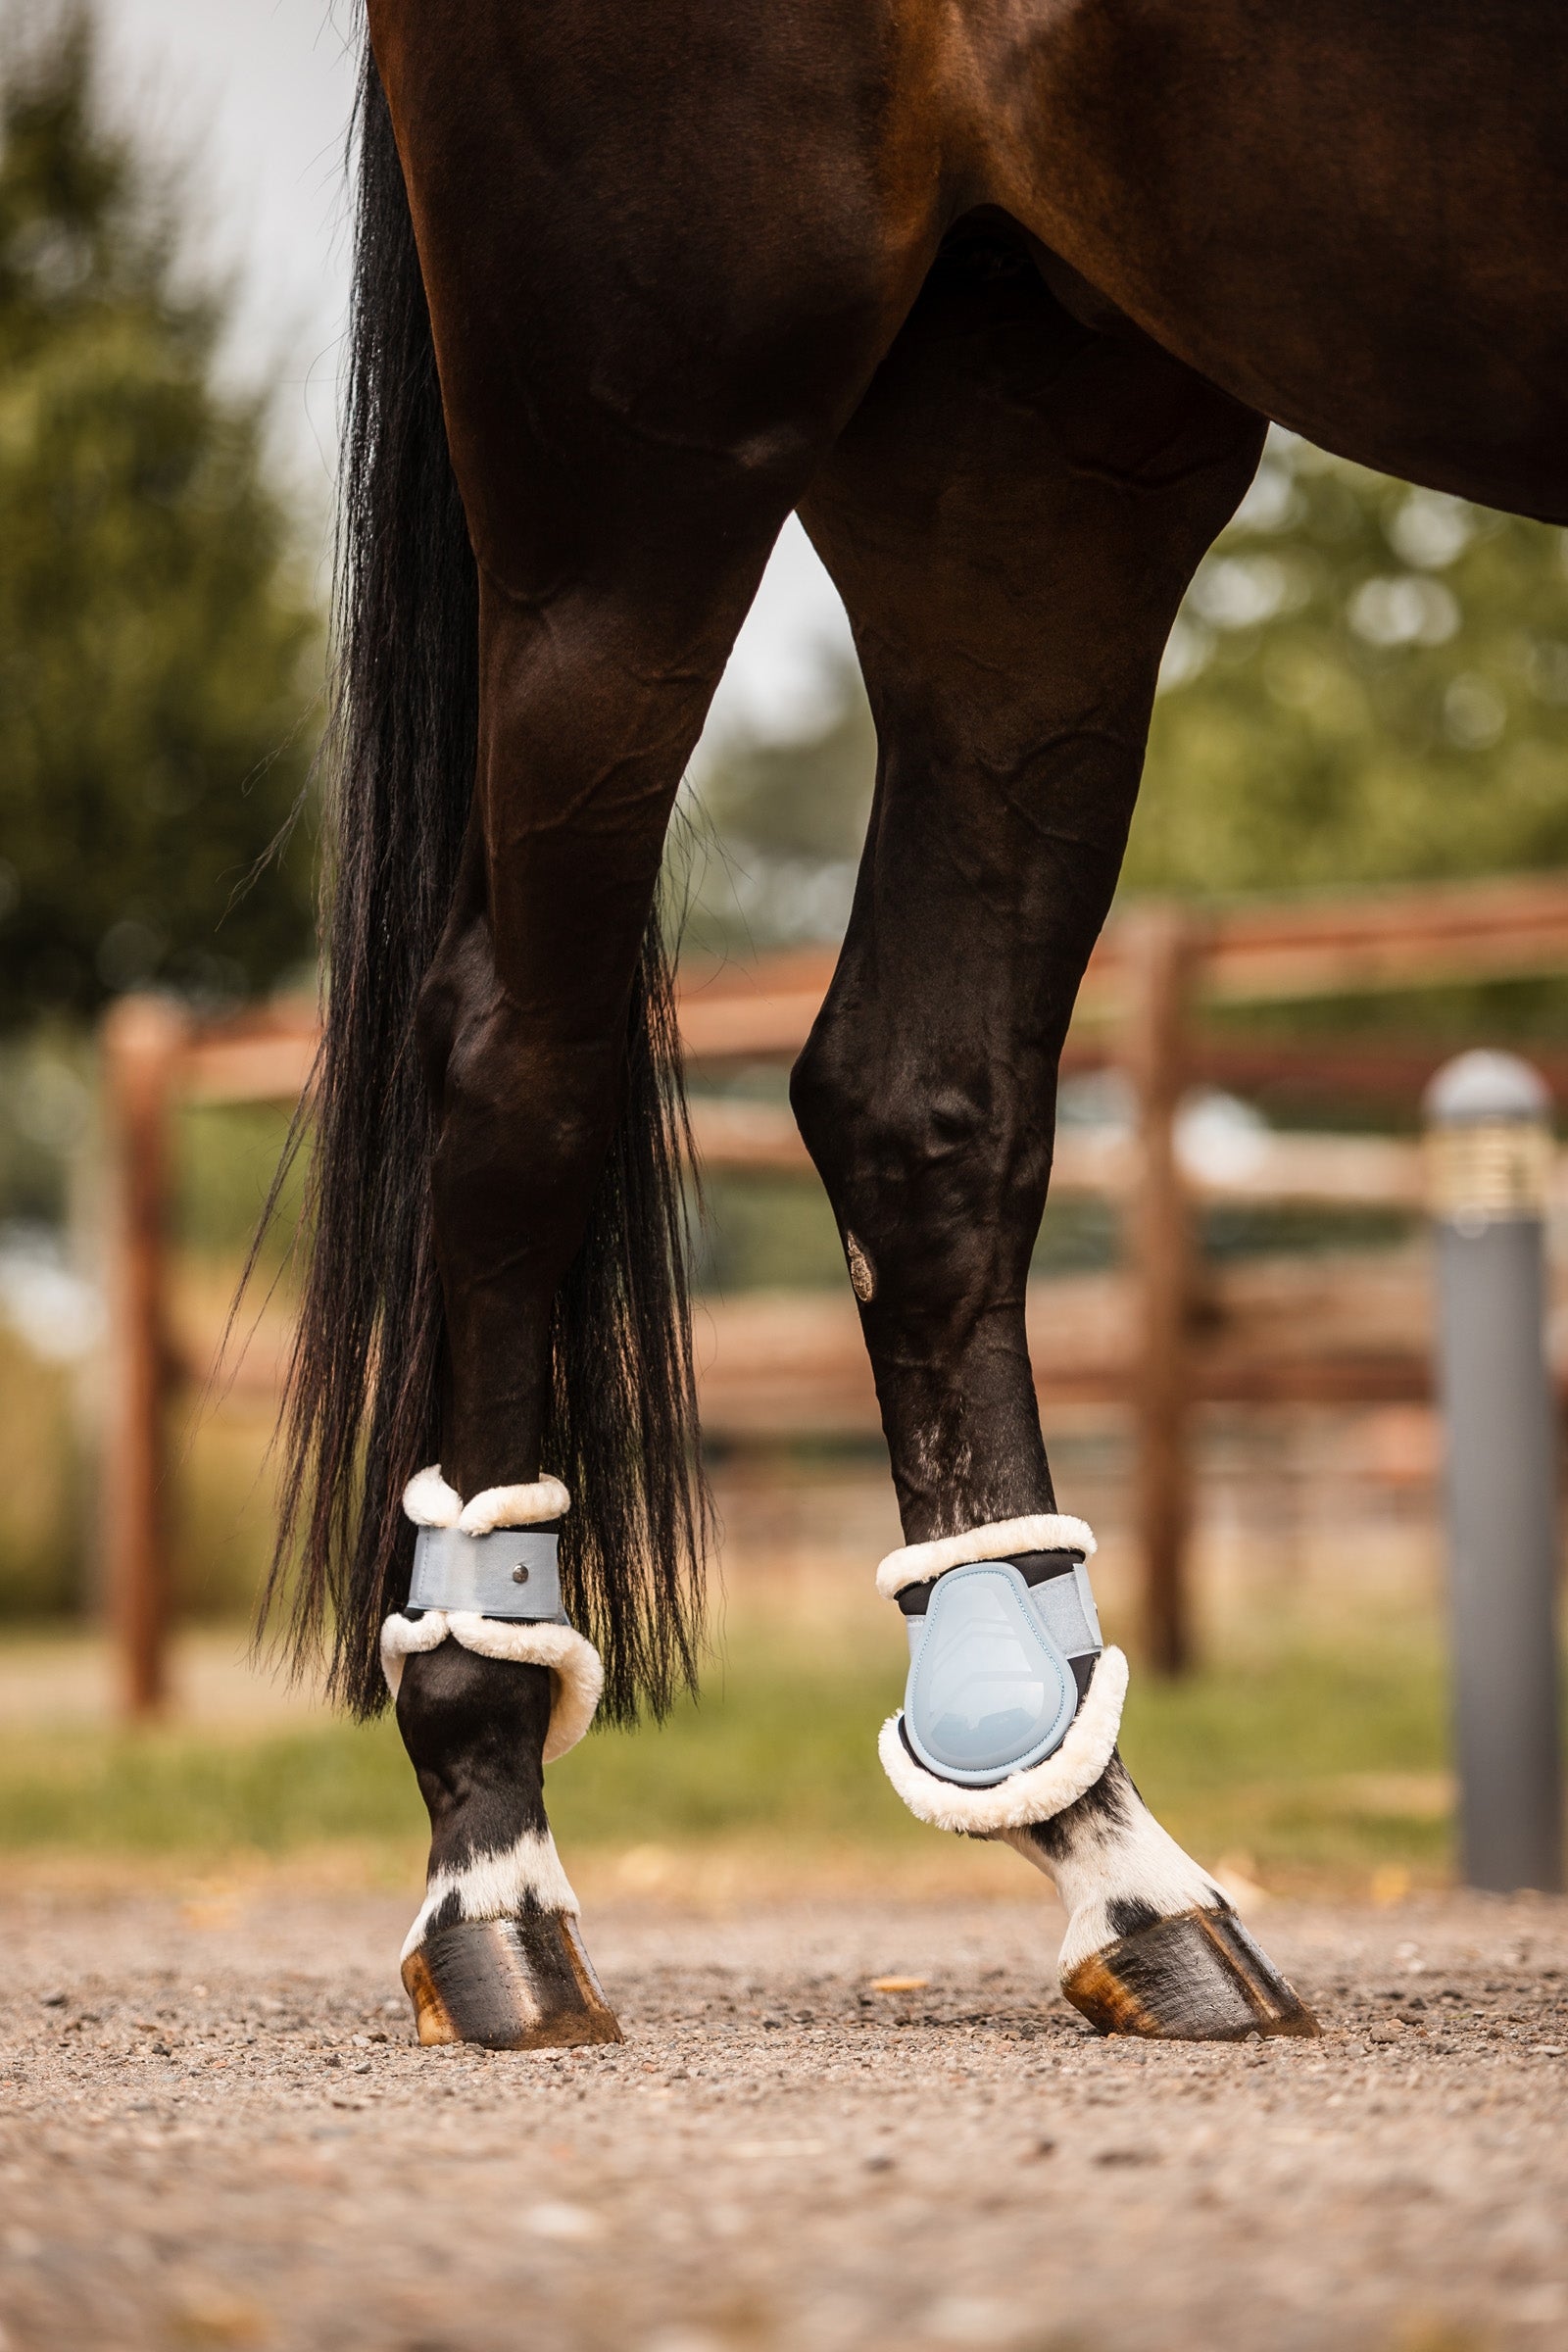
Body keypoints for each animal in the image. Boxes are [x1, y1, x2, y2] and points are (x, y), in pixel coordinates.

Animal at [265, 0, 1568, 2048]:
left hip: (1031, 467)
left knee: (915, 1100)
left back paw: (1117, 1867)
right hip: (641, 473)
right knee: (510, 1065)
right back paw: (498, 1878)